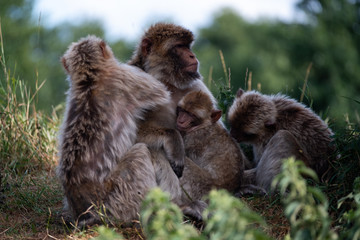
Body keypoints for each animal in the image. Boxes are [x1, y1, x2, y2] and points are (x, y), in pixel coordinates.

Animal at [57, 34, 174, 226]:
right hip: (120, 200)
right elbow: (161, 91)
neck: (90, 78)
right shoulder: (127, 78)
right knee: (140, 153)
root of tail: (89, 213)